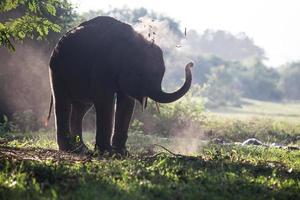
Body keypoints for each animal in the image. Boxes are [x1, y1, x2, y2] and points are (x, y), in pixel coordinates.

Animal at [47, 16, 192, 155]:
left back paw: (81, 149)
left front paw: (122, 153)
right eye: (142, 75)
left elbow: (127, 103)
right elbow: (105, 100)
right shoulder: (102, 65)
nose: (190, 64)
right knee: (63, 102)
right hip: (57, 68)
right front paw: (107, 152)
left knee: (81, 108)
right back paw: (68, 148)